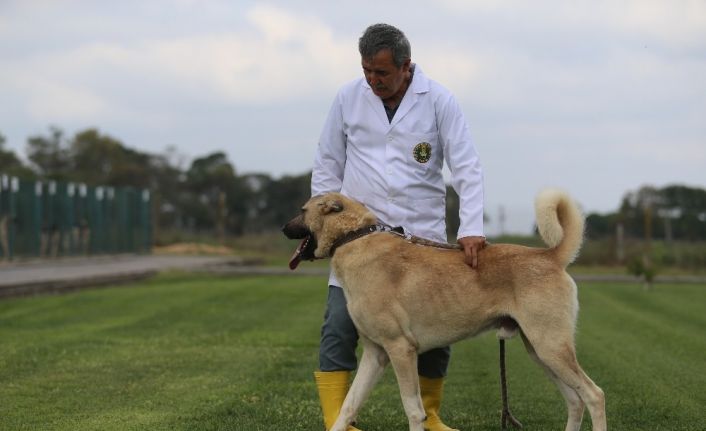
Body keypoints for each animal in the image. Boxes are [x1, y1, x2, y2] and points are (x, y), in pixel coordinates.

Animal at [284, 192, 604, 431]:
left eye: (302, 210)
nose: (284, 229)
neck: (354, 237)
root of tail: (549, 256)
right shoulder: (376, 355)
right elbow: (348, 406)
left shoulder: (401, 350)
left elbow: (413, 410)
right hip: (540, 352)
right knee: (575, 401)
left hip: (551, 348)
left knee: (594, 396)